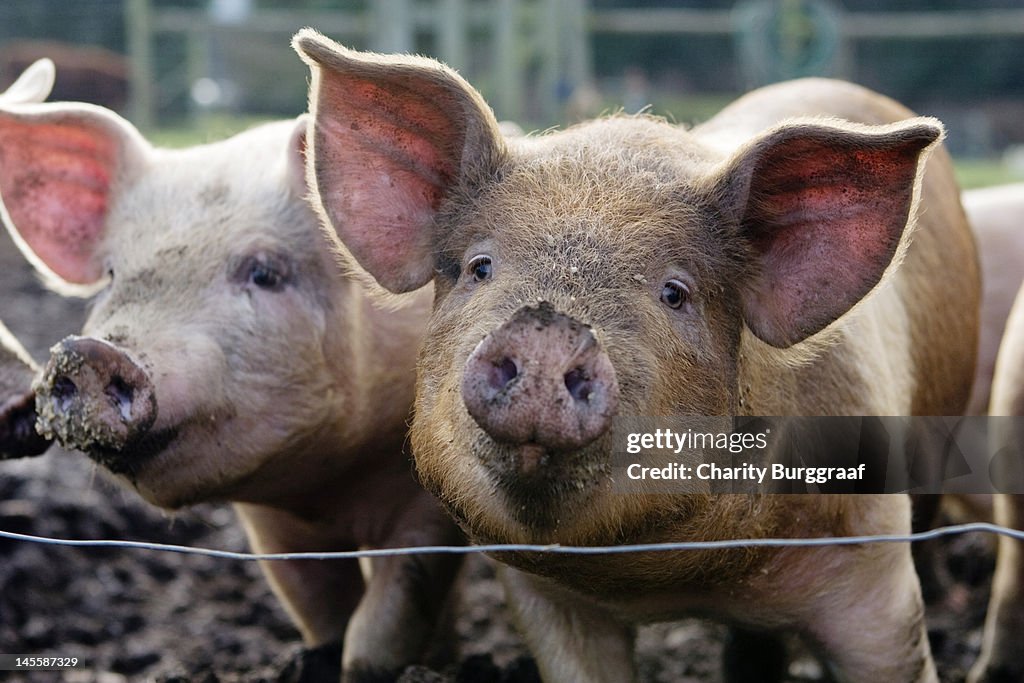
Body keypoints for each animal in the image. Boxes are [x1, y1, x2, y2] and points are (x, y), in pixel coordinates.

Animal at [0, 96, 460, 679]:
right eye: (110, 276)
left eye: (264, 272)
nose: (88, 354)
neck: (330, 485)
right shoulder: (272, 528)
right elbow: (319, 608)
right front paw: (313, 660)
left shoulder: (428, 501)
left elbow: (390, 613)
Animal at [292, 31, 978, 683]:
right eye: (478, 267)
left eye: (675, 292)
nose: (546, 327)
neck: (676, 580)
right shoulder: (544, 597)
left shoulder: (873, 560)